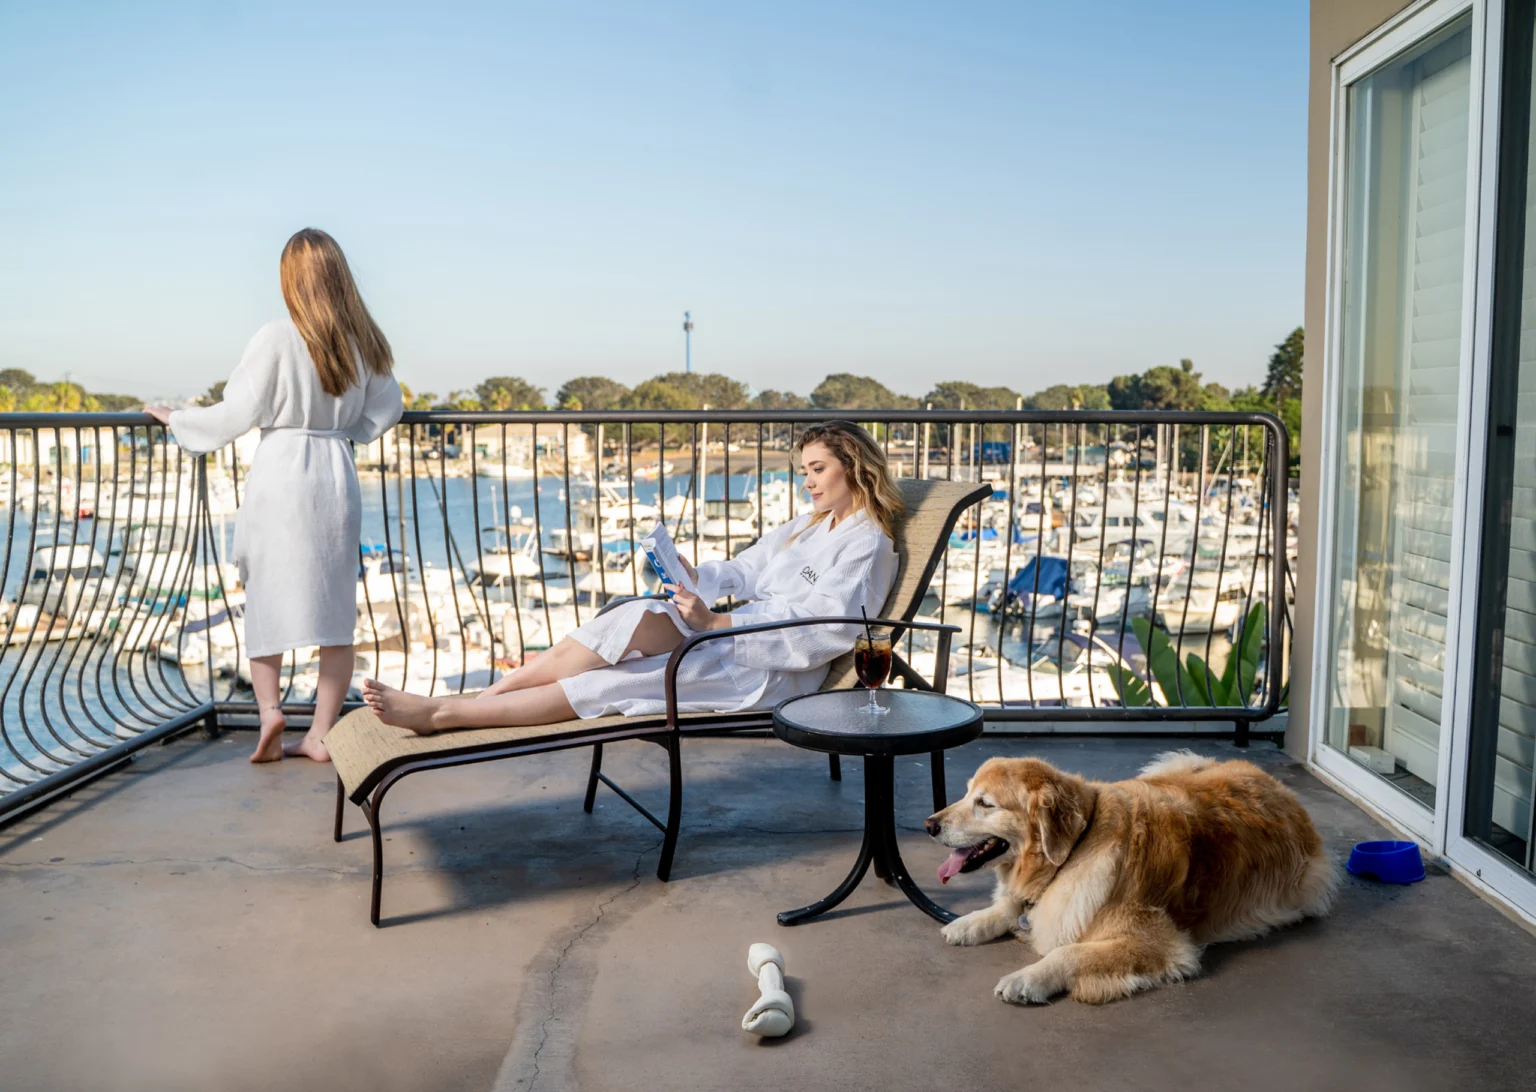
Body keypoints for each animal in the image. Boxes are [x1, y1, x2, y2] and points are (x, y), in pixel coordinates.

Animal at [921, 755, 1333, 1001]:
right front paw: (969, 923)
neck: (1071, 852)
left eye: (985, 803)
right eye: (966, 794)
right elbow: (1009, 907)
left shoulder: (1162, 944)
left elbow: (1068, 952)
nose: (929, 824)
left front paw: (1027, 978)